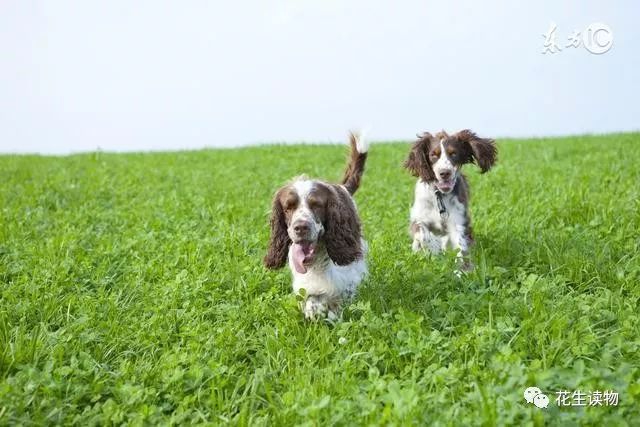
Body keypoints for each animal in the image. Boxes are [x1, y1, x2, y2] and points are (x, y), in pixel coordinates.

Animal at [262, 132, 368, 320]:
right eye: (288, 207)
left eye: (316, 205)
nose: (300, 227)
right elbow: (311, 298)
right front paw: (314, 309)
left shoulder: (346, 274)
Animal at [402, 130, 498, 270]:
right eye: (433, 155)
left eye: (454, 154)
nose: (444, 173)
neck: (439, 196)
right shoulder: (418, 217)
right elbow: (423, 234)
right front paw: (434, 248)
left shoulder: (459, 221)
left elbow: (461, 247)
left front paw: (462, 271)